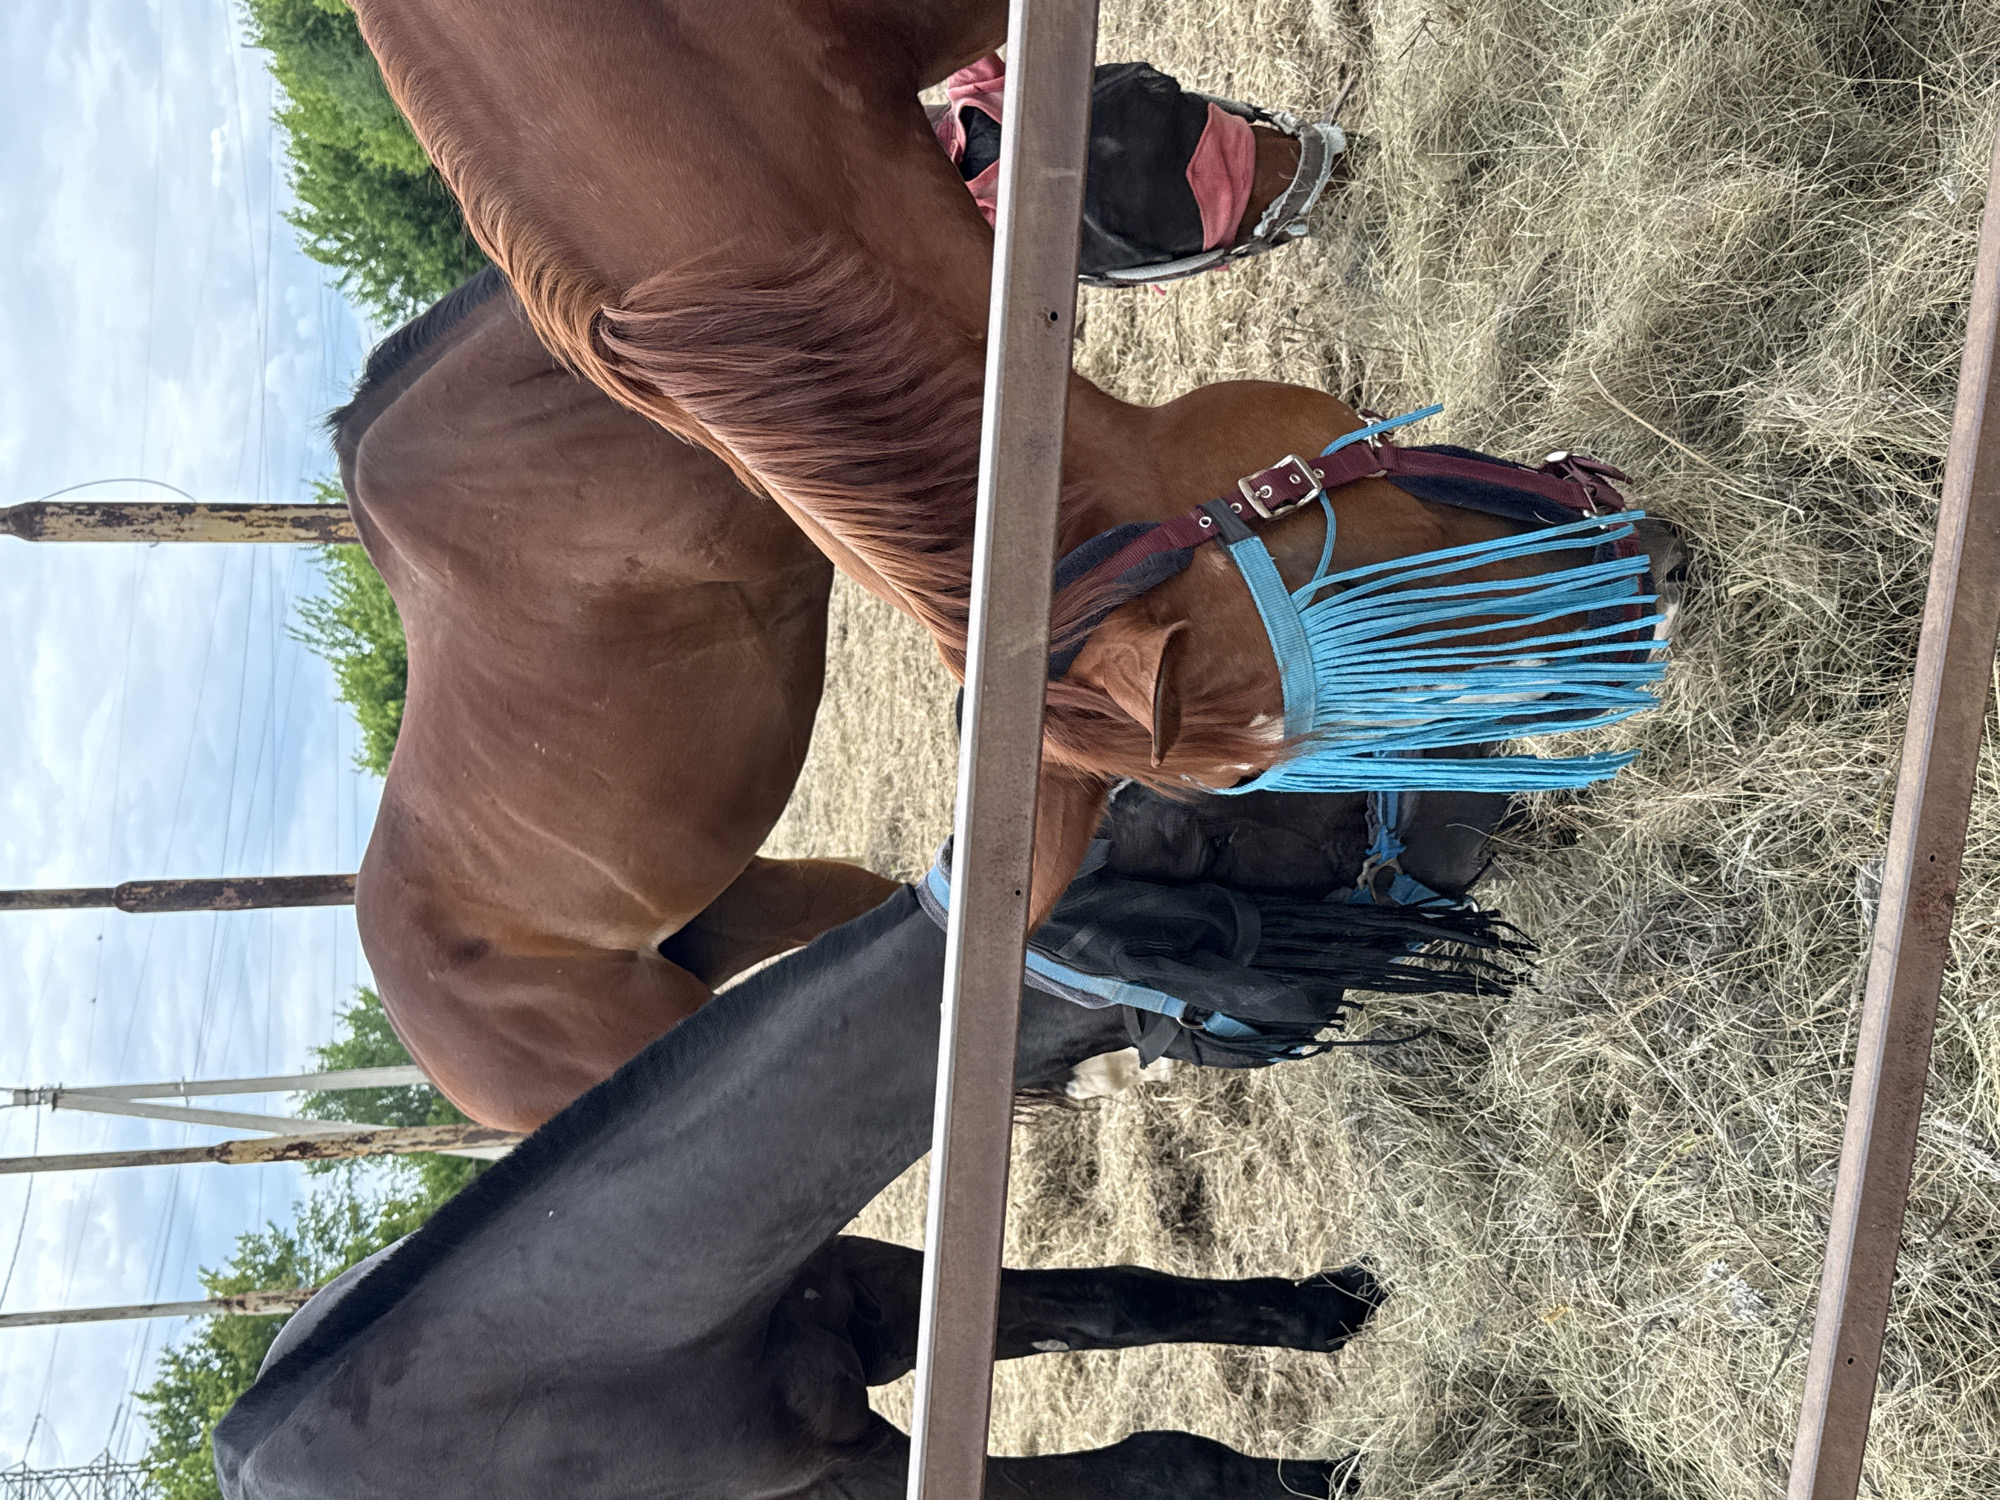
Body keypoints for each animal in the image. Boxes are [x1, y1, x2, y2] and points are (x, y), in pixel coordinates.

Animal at [214, 876, 1385, 1500]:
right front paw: (1339, 1474)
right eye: (1172, 933)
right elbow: (1163, 1464)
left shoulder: (872, 1304)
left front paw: (1332, 1307)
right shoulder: (850, 1469)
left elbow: (1120, 1299)